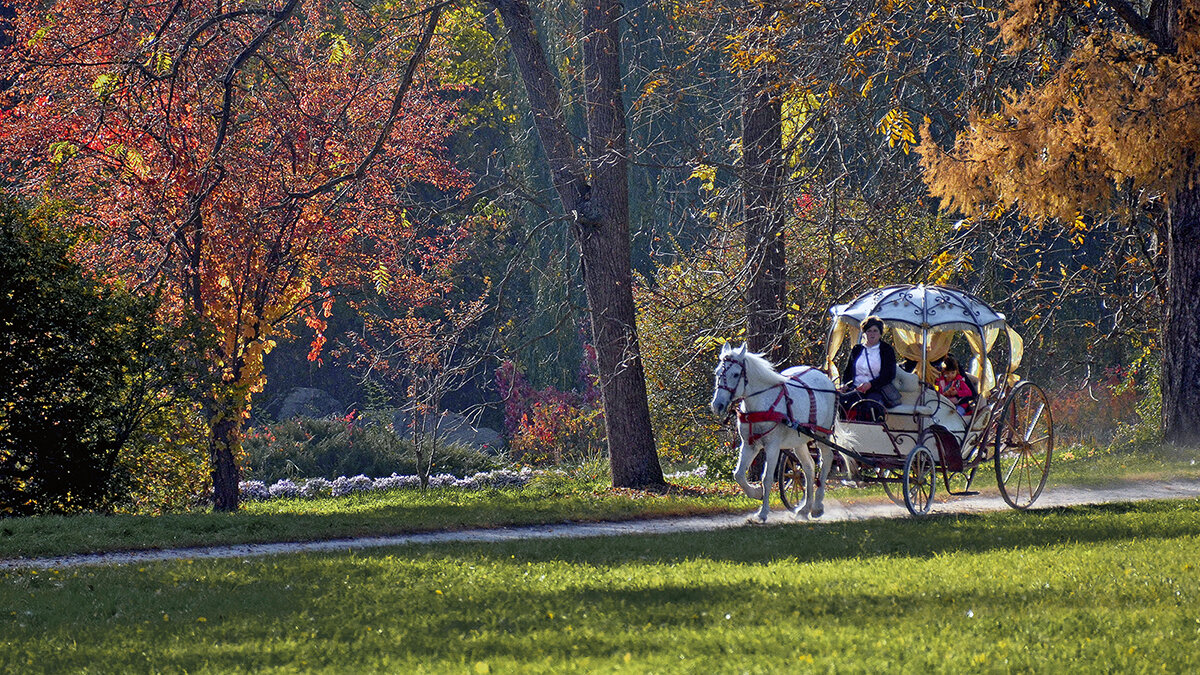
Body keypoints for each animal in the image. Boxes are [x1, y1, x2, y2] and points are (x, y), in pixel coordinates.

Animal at [710, 341, 835, 521]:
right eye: (718, 372)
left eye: (735, 374)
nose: (717, 405)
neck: (760, 405)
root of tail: (826, 378)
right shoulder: (749, 445)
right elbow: (738, 474)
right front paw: (756, 493)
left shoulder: (772, 446)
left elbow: (767, 478)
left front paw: (762, 513)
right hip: (799, 441)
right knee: (809, 467)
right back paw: (805, 508)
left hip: (822, 434)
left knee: (826, 460)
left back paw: (817, 506)